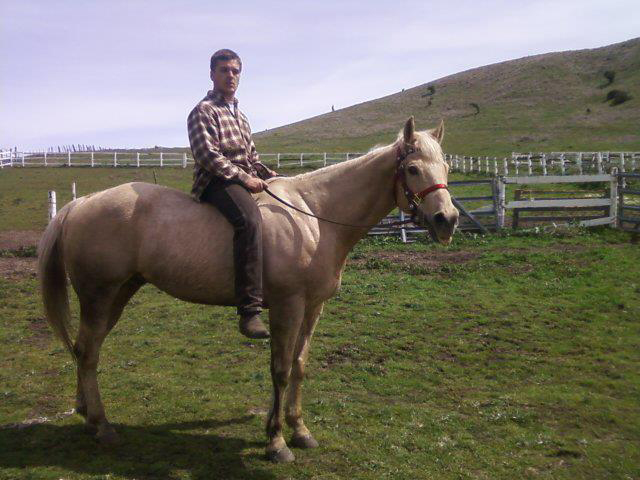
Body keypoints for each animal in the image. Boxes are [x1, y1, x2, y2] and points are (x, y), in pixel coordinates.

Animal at [38, 117, 459, 463]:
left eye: (446, 167)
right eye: (412, 168)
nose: (447, 220)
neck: (314, 217)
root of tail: (79, 204)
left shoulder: (313, 308)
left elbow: (300, 365)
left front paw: (299, 429)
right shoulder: (288, 306)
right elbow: (281, 370)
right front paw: (276, 442)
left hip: (118, 295)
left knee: (84, 349)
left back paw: (86, 414)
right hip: (99, 295)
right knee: (88, 352)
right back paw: (102, 425)